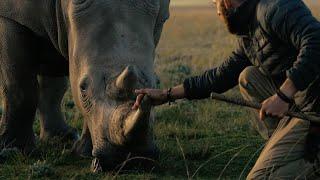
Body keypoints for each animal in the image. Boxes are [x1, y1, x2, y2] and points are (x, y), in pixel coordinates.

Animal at [0, 0, 170, 170]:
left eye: (156, 84)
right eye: (83, 88)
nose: (130, 159)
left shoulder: (159, 20)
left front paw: (84, 153)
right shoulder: (11, 16)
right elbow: (20, 87)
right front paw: (16, 150)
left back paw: (63, 137)